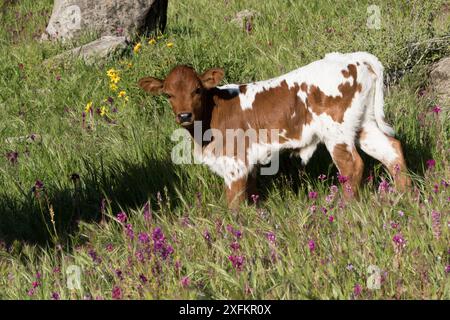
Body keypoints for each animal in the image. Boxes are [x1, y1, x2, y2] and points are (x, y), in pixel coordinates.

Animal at [139, 51, 410, 208]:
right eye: (168, 94)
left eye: (197, 90)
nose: (184, 115)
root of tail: (353, 57)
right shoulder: (248, 164)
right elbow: (251, 195)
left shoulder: (235, 163)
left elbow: (234, 203)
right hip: (363, 124)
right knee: (392, 151)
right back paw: (405, 197)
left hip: (337, 132)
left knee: (352, 166)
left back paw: (346, 208)